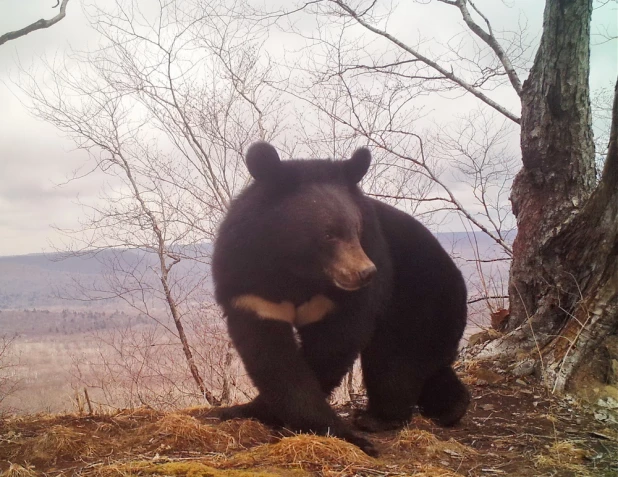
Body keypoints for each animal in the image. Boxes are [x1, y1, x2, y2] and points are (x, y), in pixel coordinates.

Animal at [211, 141, 466, 454]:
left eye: (356, 229)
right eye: (328, 234)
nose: (365, 273)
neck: (296, 270)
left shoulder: (341, 296)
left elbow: (331, 346)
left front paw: (344, 436)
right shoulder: (249, 283)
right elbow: (269, 352)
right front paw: (241, 410)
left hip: (421, 300)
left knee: (395, 358)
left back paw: (377, 418)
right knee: (424, 365)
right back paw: (451, 405)